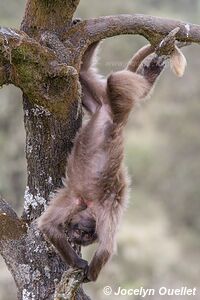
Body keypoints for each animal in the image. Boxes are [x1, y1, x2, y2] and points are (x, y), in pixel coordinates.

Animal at [37, 40, 186, 282]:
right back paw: (148, 78)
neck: (88, 203)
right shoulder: (99, 207)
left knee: (88, 76)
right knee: (116, 81)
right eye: (78, 232)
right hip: (117, 104)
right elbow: (103, 246)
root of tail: (111, 115)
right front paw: (83, 266)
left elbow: (51, 227)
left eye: (84, 235)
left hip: (100, 103)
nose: (77, 235)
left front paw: (86, 272)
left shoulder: (82, 203)